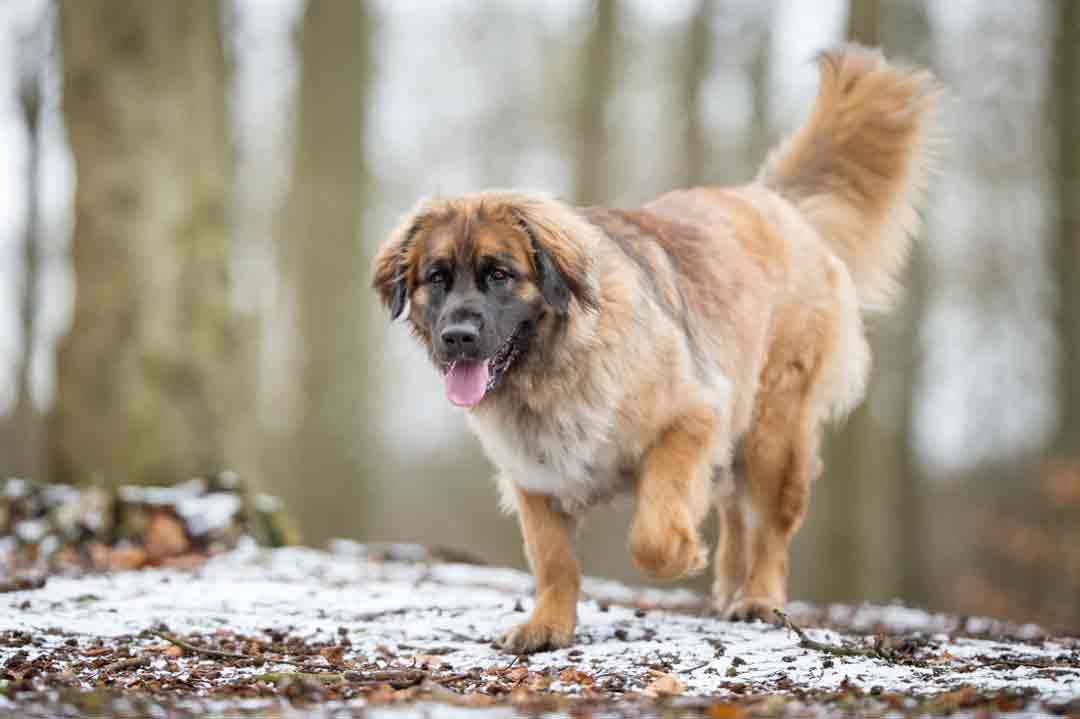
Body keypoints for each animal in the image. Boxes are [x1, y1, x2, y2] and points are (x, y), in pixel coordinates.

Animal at [371, 42, 937, 652]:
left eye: (499, 274)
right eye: (437, 278)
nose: (457, 336)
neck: (554, 369)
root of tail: (771, 200)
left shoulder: (689, 420)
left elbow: (653, 533)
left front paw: (683, 552)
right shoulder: (533, 474)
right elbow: (553, 559)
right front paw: (548, 624)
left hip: (775, 429)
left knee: (770, 526)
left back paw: (759, 597)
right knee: (738, 512)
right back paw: (731, 590)